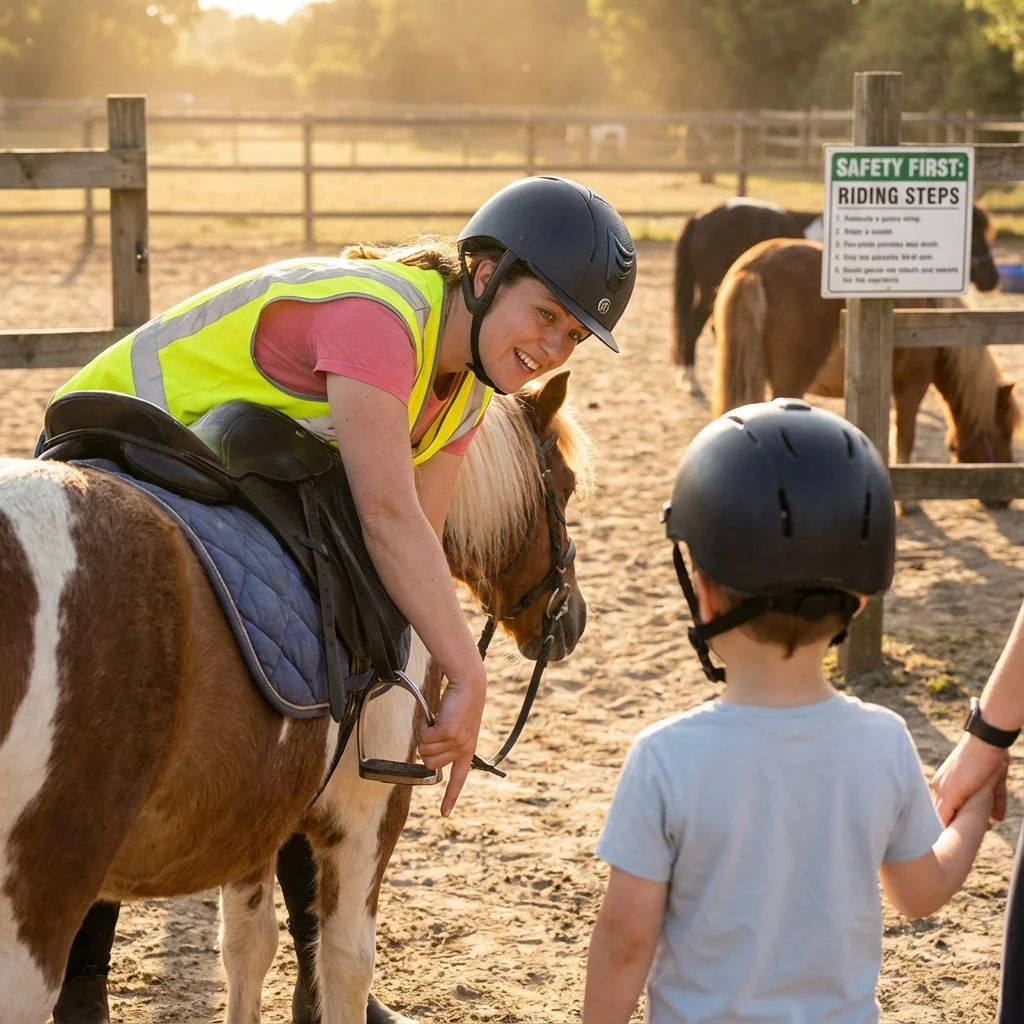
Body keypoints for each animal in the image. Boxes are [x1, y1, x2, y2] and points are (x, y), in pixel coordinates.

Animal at [711, 238, 1020, 513]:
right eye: (1005, 433)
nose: (1004, 500)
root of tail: (754, 268)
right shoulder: (912, 386)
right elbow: (905, 435)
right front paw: (909, 504)